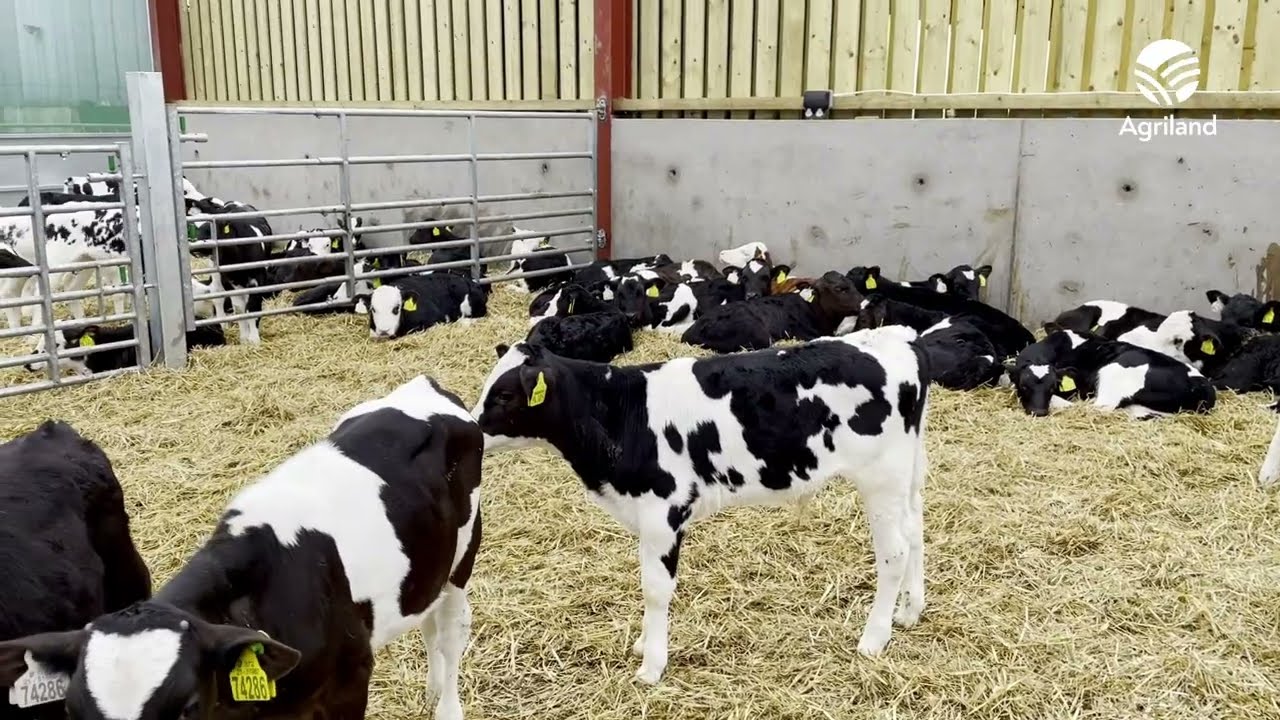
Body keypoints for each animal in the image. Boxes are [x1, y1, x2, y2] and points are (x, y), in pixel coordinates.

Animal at [471, 327, 931, 681]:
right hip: (906, 476)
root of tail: (900, 339)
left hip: (881, 478)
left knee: (894, 552)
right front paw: (643, 644)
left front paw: (652, 666)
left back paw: (874, 638)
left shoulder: (664, 513)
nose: (471, 432)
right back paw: (910, 612)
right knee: (915, 532)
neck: (620, 413)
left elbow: (655, 589)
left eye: (505, 395)